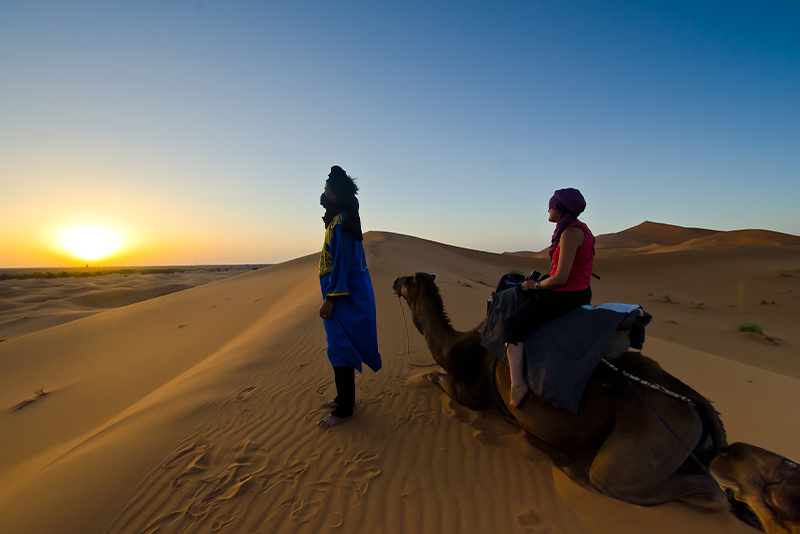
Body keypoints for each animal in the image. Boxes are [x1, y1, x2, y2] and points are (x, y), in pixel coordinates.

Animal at [394, 274, 732, 512]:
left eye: (408, 280)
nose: (394, 281)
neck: (455, 344)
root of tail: (693, 401)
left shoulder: (469, 392)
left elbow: (436, 377)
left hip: (648, 440)